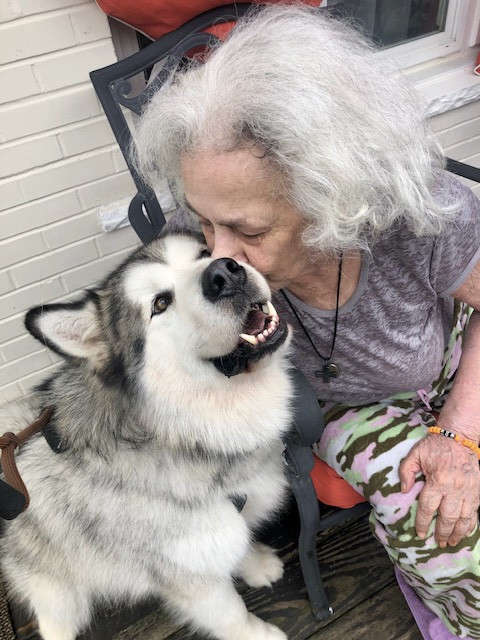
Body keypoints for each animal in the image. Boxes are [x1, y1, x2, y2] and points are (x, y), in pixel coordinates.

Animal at [0, 231, 292, 640]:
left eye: (205, 253)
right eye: (160, 303)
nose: (223, 273)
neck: (179, 434)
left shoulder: (221, 530)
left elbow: (241, 543)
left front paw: (255, 565)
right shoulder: (188, 575)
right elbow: (231, 615)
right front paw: (258, 634)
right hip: (57, 593)